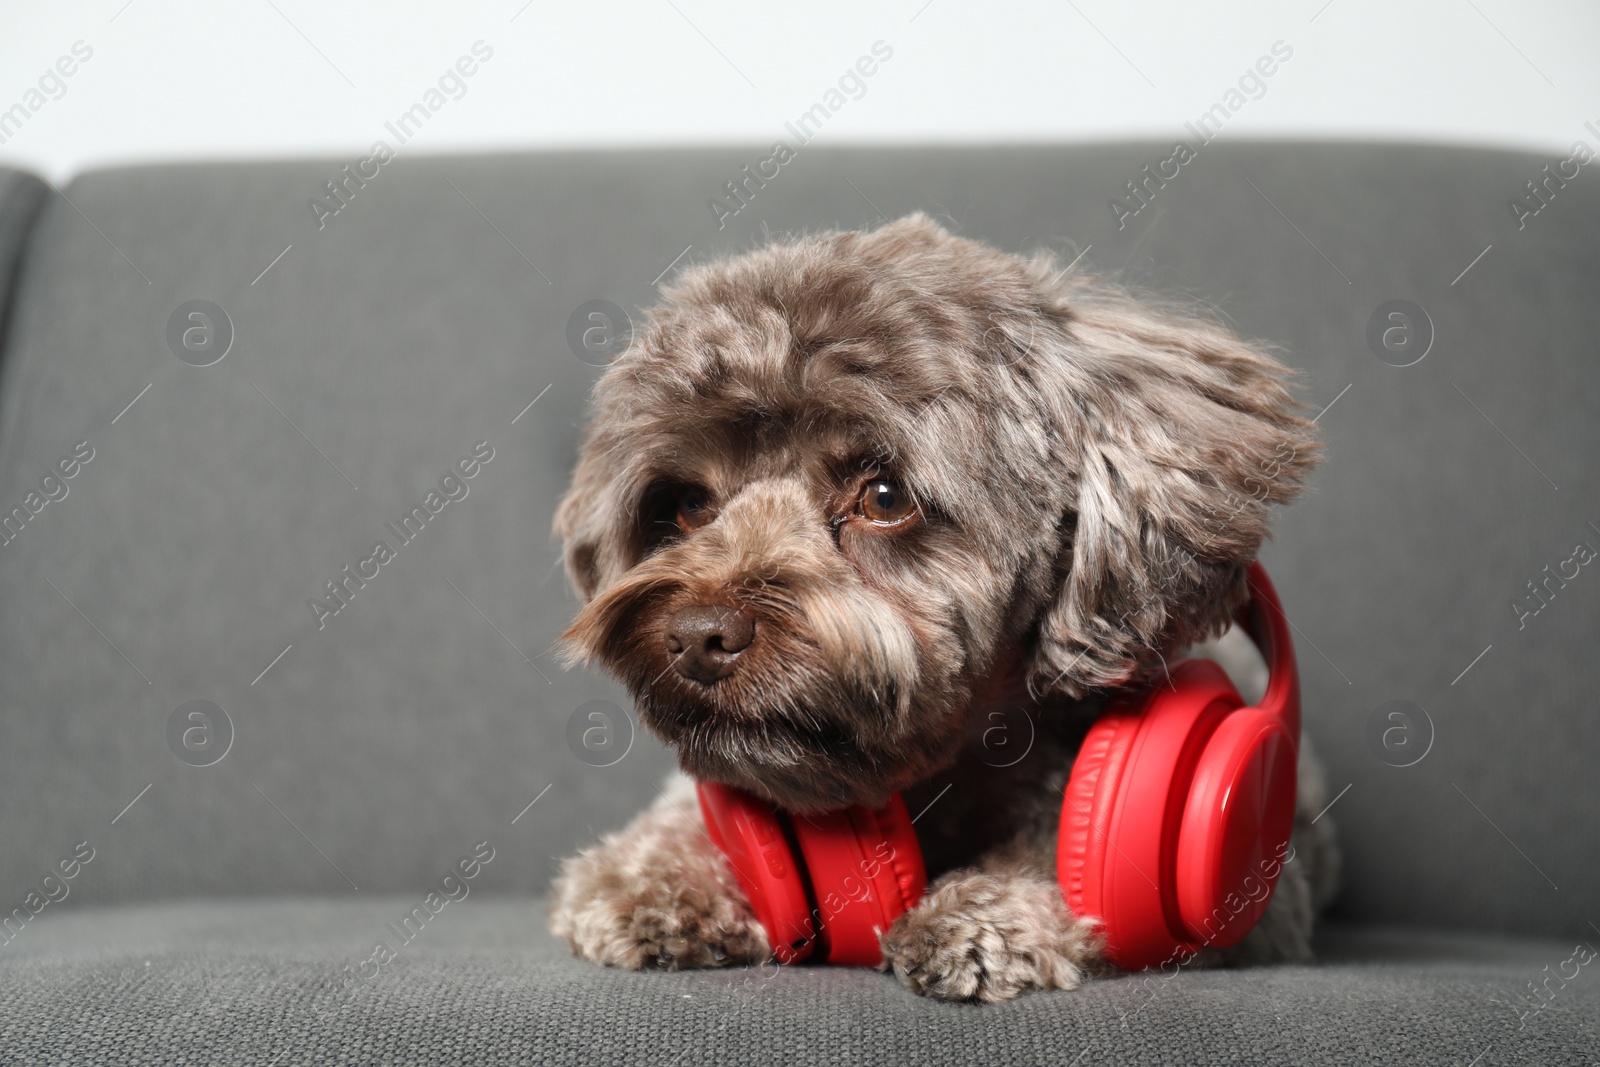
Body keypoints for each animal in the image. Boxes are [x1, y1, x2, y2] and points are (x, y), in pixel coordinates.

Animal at [547, 214, 1337, 1004]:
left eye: (884, 495)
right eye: (686, 504)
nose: (696, 636)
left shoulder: (1269, 909)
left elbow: (1069, 850)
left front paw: (989, 909)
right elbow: (684, 810)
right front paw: (653, 876)